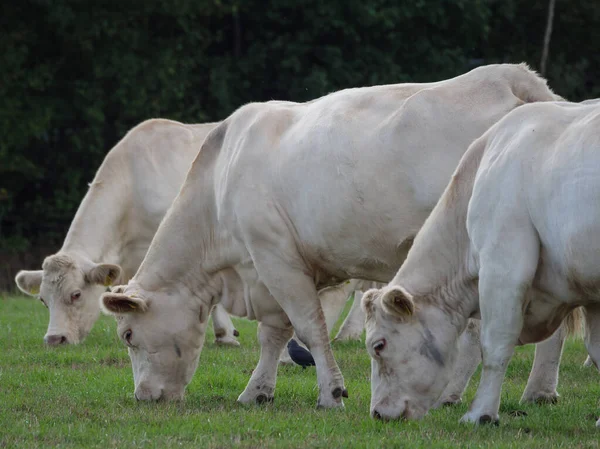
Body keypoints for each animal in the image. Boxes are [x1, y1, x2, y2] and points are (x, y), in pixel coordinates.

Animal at [99, 64, 564, 410]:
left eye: (128, 336)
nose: (143, 396)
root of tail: (510, 77)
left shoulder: (275, 257)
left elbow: (309, 328)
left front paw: (331, 394)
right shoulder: (270, 270)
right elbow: (274, 335)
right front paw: (257, 391)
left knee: (477, 330)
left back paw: (456, 394)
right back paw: (538, 391)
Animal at [360, 100, 600, 426]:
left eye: (378, 345)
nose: (378, 413)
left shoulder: (503, 267)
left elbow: (494, 346)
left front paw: (481, 413)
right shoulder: (592, 295)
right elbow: (597, 350)